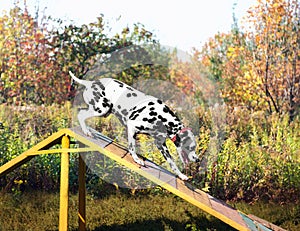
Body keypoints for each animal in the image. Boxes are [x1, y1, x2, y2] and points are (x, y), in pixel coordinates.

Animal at [70, 71, 199, 180]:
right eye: (191, 147)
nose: (197, 159)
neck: (162, 117)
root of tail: (90, 83)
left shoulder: (161, 145)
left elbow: (172, 163)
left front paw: (181, 175)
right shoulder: (132, 127)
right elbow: (132, 147)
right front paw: (137, 159)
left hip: (104, 112)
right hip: (101, 109)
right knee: (81, 114)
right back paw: (86, 131)